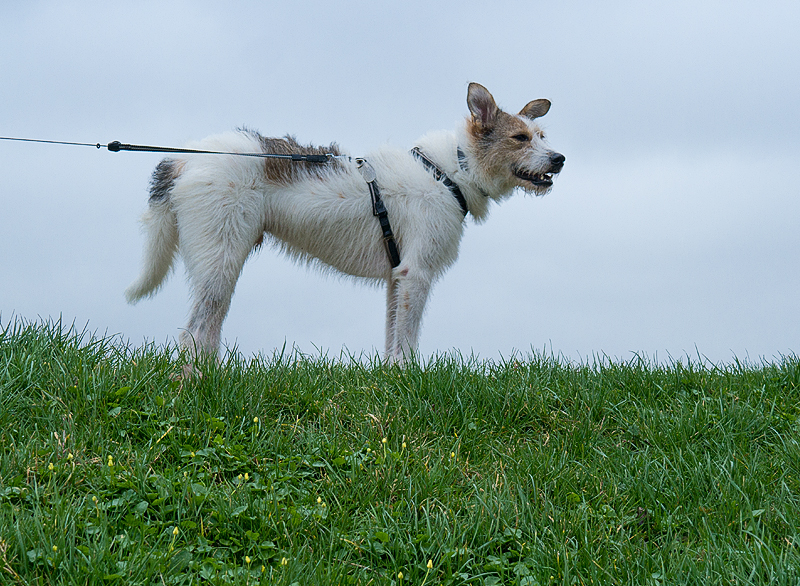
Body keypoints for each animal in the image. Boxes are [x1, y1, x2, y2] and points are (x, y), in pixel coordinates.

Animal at [126, 82, 564, 362]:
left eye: (541, 135)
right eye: (520, 138)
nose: (559, 159)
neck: (448, 172)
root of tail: (184, 159)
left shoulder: (397, 279)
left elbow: (392, 344)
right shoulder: (416, 275)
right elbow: (406, 346)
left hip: (223, 265)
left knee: (207, 334)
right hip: (222, 261)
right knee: (195, 334)